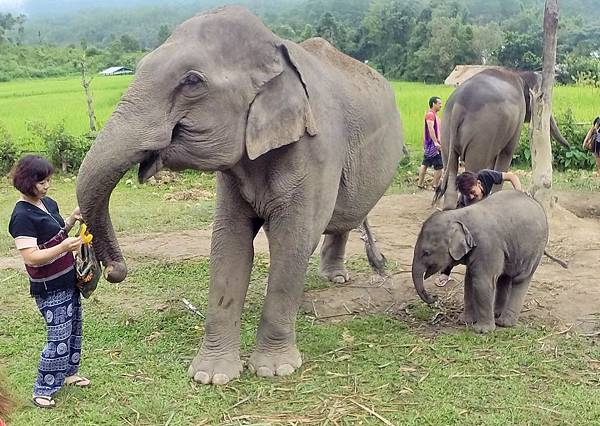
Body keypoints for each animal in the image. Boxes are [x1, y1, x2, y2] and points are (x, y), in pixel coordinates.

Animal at [74, 6, 404, 386]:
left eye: (192, 81)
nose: (112, 272)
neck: (276, 52)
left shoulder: (318, 148)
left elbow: (292, 241)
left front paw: (275, 370)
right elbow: (229, 244)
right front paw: (211, 376)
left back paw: (340, 276)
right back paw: (331, 276)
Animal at [410, 191, 556, 334]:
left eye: (426, 252)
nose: (434, 297)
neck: (459, 215)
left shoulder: (487, 246)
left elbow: (482, 282)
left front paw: (482, 331)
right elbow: (469, 282)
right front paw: (465, 321)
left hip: (535, 250)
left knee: (521, 280)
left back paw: (504, 323)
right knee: (504, 278)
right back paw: (496, 314)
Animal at [436, 69, 568, 211]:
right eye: (542, 97)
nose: (569, 146)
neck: (521, 75)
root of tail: (458, 104)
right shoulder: (517, 119)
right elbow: (507, 152)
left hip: (445, 129)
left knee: (450, 167)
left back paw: (449, 209)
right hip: (481, 134)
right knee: (474, 166)